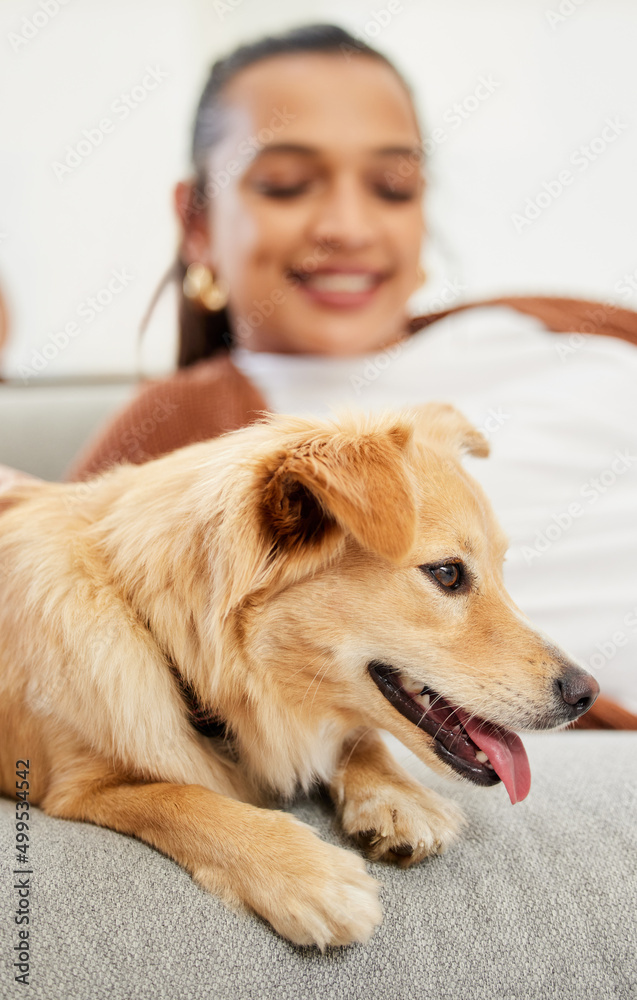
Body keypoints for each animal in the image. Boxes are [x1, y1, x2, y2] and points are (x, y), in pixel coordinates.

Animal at [0, 400, 596, 944]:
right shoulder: (75, 786)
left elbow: (360, 738)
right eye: (448, 573)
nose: (586, 694)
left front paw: (398, 798)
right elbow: (180, 799)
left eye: (502, 572)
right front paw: (308, 876)